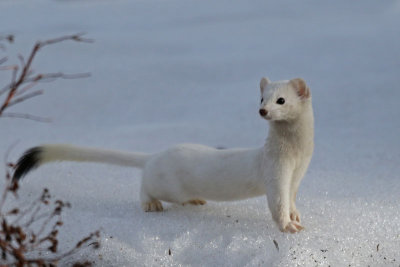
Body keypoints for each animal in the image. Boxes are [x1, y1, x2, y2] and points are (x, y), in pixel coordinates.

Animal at [11, 78, 312, 234]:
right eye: (261, 99)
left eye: (281, 100)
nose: (263, 111)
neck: (296, 157)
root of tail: (153, 155)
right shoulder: (276, 172)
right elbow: (277, 202)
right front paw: (289, 226)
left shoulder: (297, 177)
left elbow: (291, 199)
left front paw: (296, 216)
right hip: (163, 184)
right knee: (145, 188)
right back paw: (151, 205)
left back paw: (196, 199)